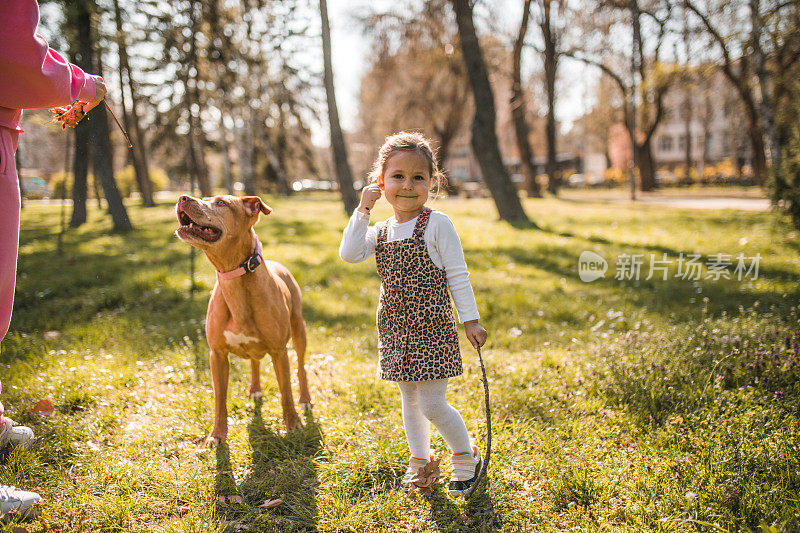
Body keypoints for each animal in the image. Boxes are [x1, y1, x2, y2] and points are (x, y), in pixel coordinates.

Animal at [175, 193, 310, 446]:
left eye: (220, 203)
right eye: (205, 198)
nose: (182, 197)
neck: (235, 281)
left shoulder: (279, 351)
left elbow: (286, 391)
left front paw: (293, 424)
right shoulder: (217, 355)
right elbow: (219, 400)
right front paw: (216, 435)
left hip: (299, 330)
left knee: (300, 367)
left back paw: (305, 399)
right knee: (255, 362)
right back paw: (255, 388)